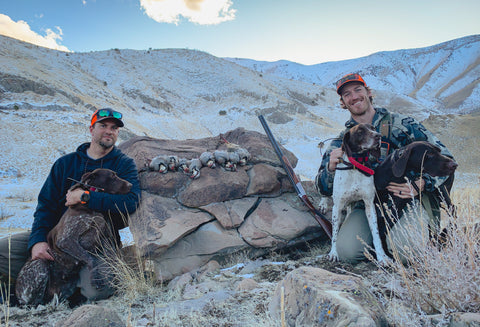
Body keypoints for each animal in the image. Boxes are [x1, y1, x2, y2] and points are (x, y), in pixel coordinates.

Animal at [320, 124, 392, 266]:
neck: (355, 167)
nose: (378, 136)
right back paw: (323, 204)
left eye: (373, 128)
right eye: (360, 131)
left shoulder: (369, 205)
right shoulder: (337, 206)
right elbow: (335, 233)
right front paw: (333, 253)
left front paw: (382, 257)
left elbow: (376, 235)